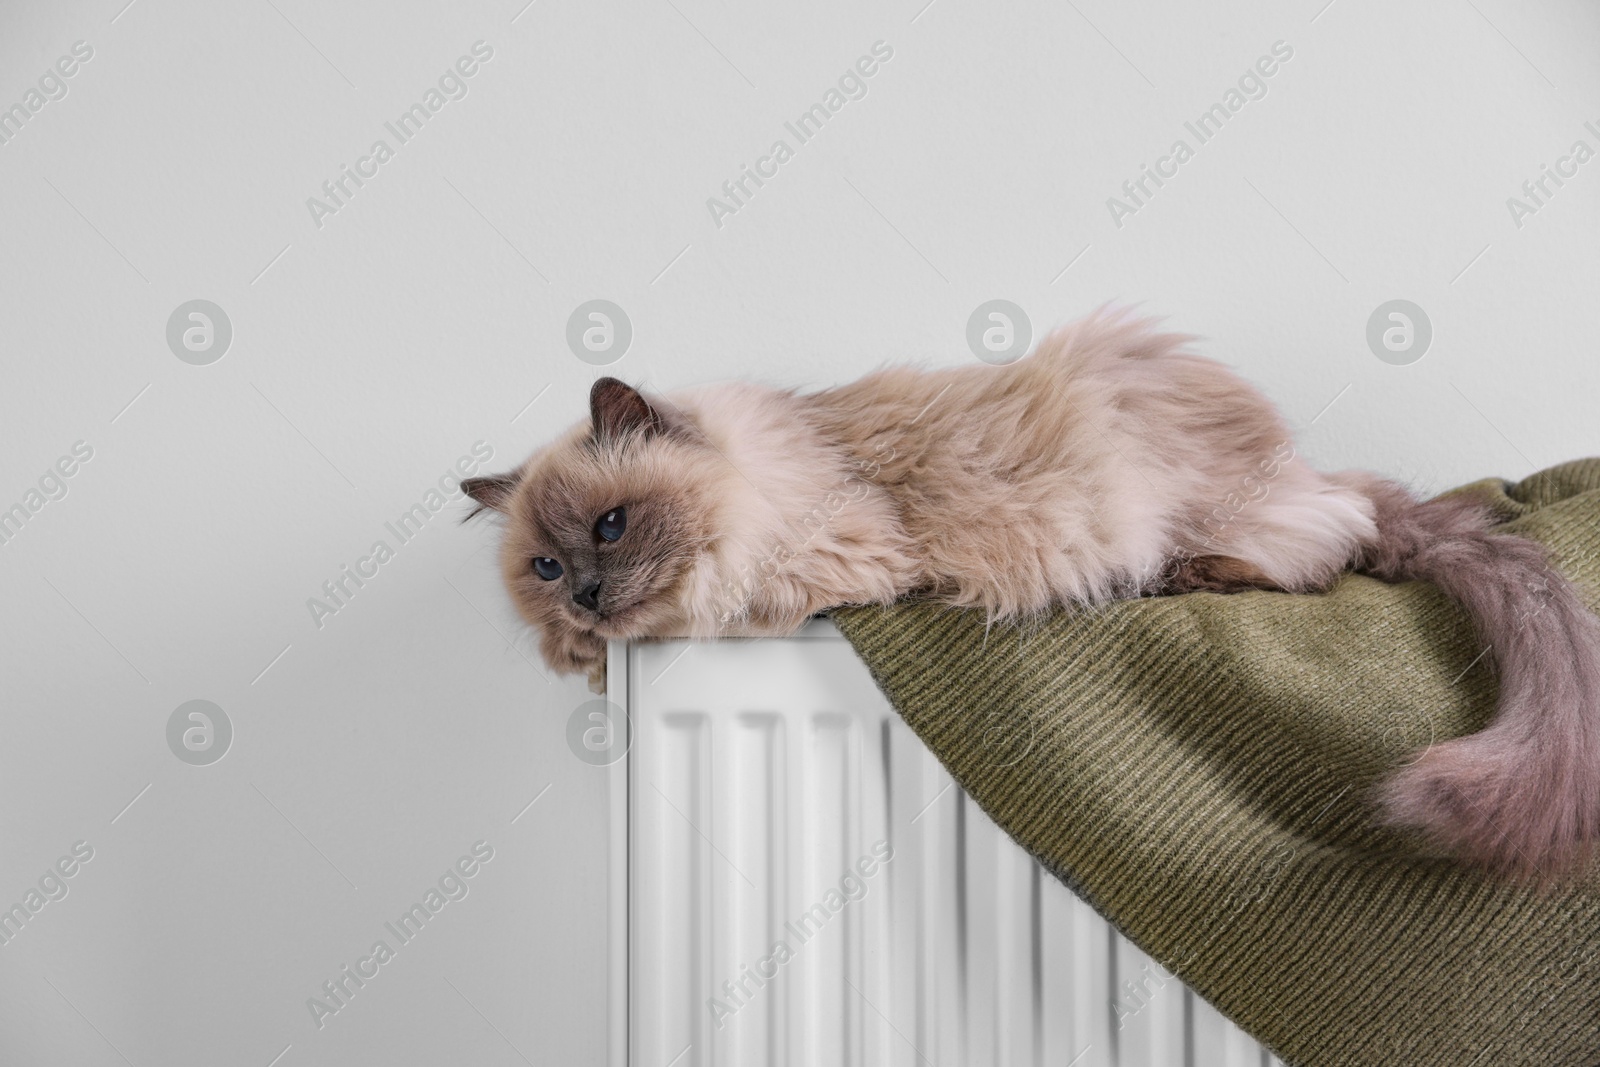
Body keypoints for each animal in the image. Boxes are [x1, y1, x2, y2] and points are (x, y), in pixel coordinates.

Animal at [467, 308, 1600, 883]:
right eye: (544, 569)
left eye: (611, 527)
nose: (589, 595)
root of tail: (1299, 457)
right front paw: (582, 659)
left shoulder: (826, 563)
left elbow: (720, 602)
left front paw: (606, 657)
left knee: (1337, 543)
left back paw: (1184, 573)